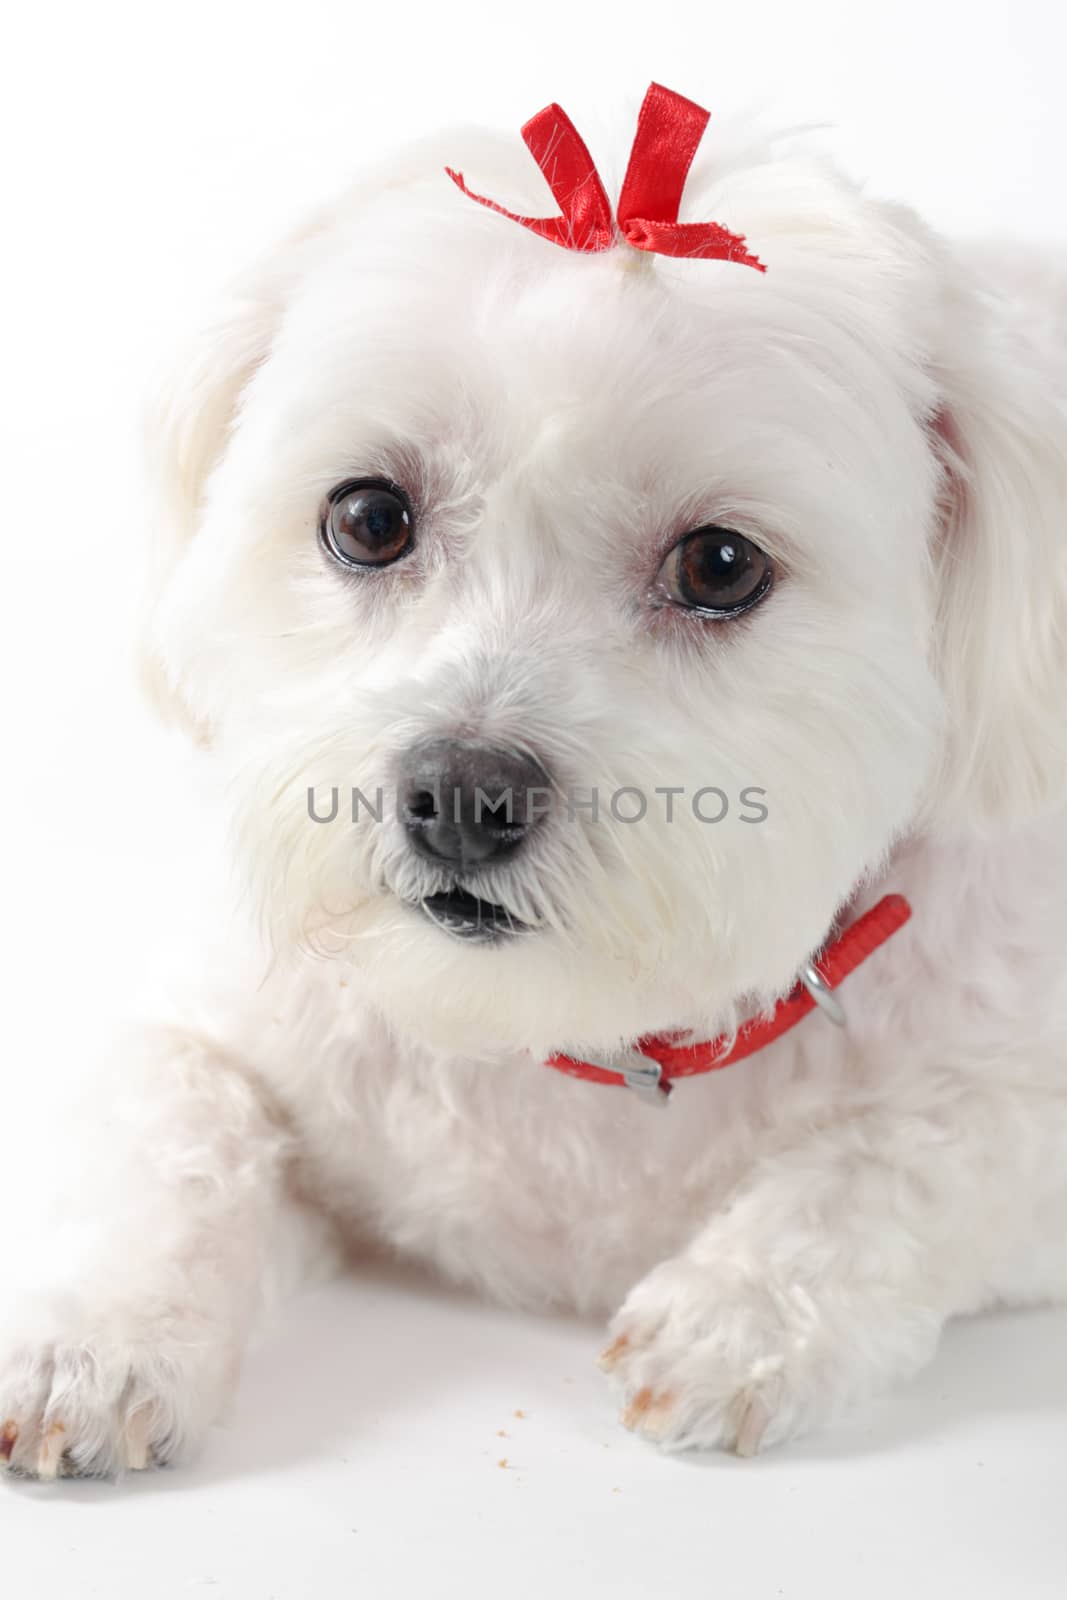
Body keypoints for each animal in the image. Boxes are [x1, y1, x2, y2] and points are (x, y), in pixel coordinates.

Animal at [2, 84, 1067, 1472]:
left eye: (720, 564)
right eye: (368, 517)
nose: (460, 794)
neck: (577, 1041)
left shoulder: (1020, 1116)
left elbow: (915, 1155)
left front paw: (733, 1316)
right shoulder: (220, 1025)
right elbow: (167, 1130)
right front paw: (95, 1330)